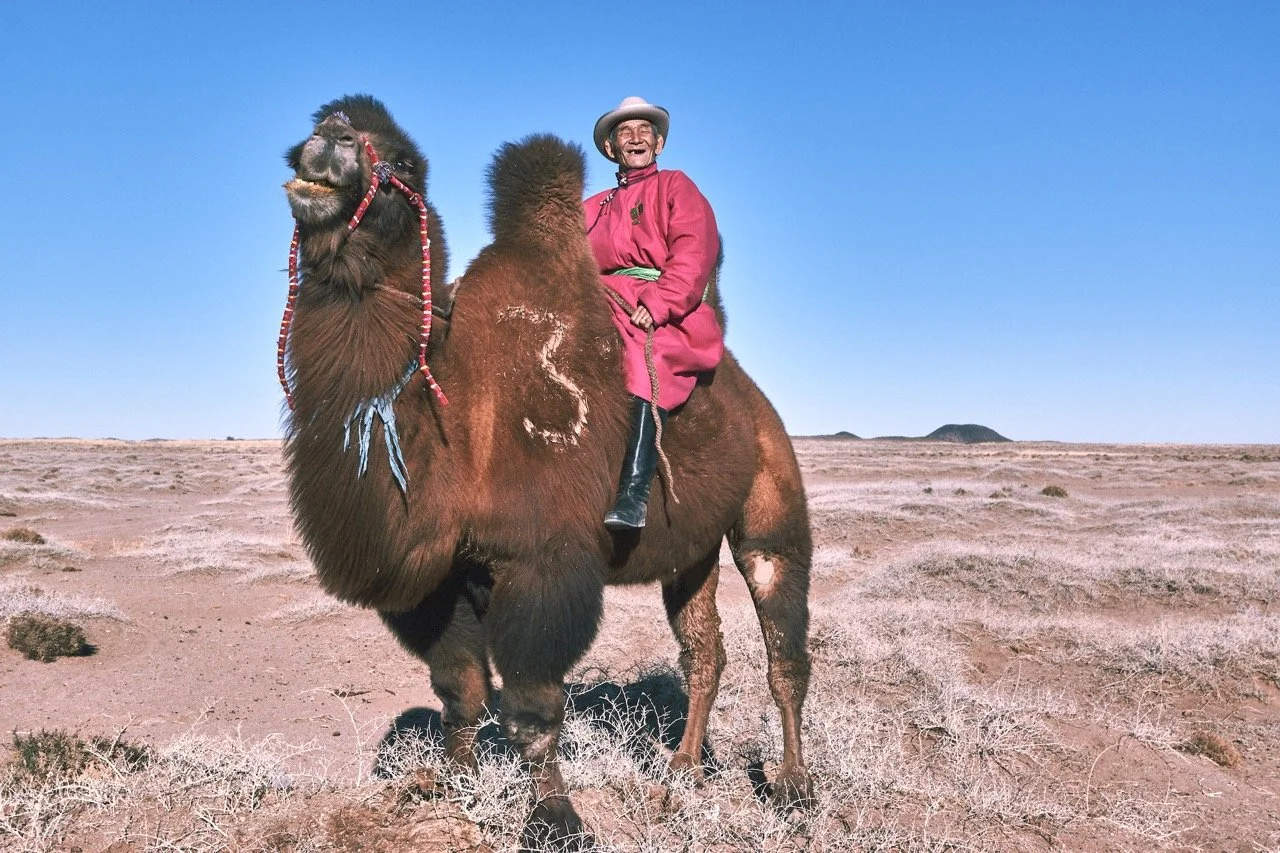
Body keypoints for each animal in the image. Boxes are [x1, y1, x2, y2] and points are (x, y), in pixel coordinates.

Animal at [280, 94, 813, 849]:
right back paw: (680, 772)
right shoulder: (445, 578)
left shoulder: (543, 562)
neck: (459, 423)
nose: (331, 141)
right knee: (703, 650)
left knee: (782, 642)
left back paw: (794, 788)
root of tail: (752, 396)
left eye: (405, 163)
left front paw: (556, 818)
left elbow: (532, 707)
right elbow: (462, 690)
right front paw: (451, 784)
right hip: (692, 547)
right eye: (306, 133)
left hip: (772, 497)